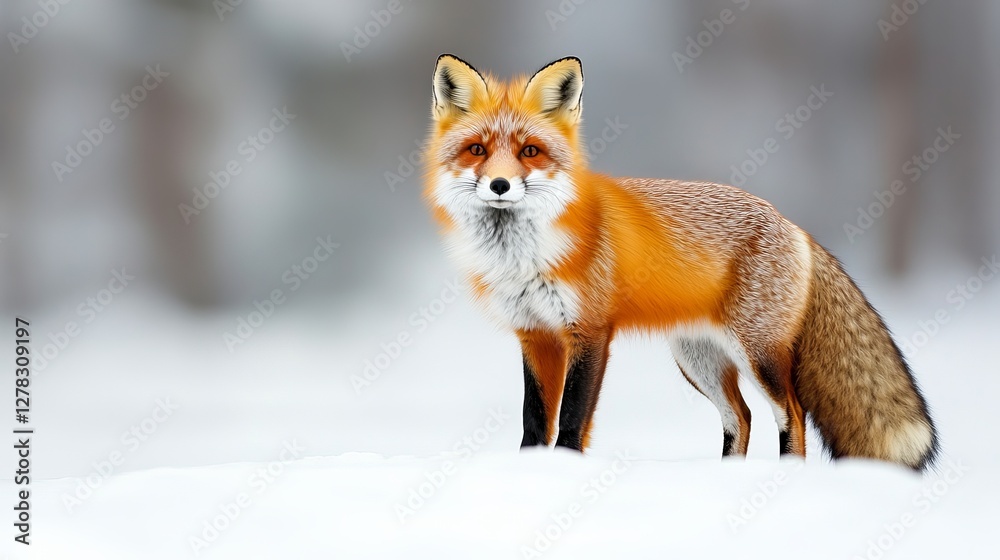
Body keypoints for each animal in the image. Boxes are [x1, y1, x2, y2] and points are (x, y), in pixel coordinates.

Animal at [422, 54, 938, 471]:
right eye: (477, 150)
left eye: (529, 151)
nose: (500, 186)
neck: (525, 256)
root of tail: (792, 223)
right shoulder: (535, 335)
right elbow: (534, 422)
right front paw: (527, 474)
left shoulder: (589, 332)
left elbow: (570, 421)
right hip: (697, 359)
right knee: (741, 417)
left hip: (759, 355)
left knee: (790, 414)